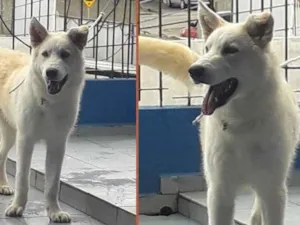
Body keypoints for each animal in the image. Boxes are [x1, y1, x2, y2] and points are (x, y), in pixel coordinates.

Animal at [0, 17, 88, 221]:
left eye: (65, 54)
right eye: (45, 54)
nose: (51, 72)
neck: (48, 103)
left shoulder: (57, 144)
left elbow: (53, 184)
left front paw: (54, 212)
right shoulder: (25, 141)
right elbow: (22, 179)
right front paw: (17, 207)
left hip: (10, 133)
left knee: (0, 155)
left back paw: (3, 185)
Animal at [139, 2, 300, 225]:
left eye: (231, 50)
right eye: (207, 48)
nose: (194, 70)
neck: (241, 122)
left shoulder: (273, 191)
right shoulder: (219, 191)